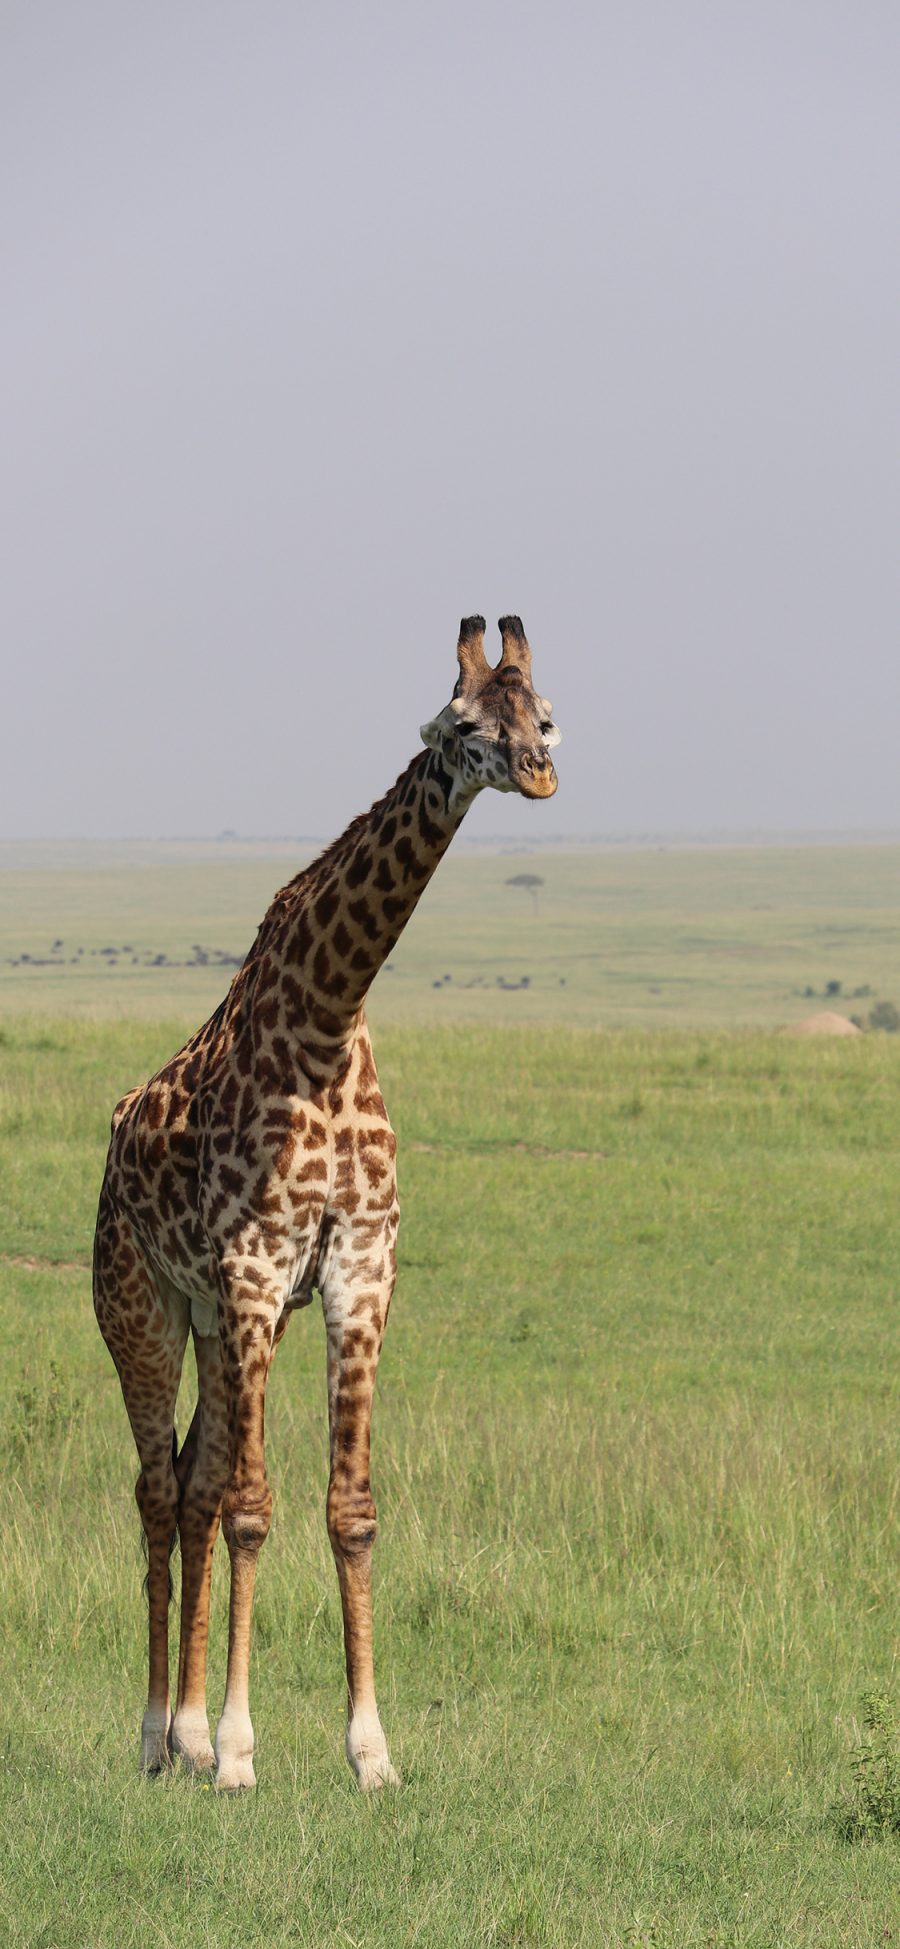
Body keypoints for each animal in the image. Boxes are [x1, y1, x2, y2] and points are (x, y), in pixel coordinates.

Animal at [96, 615, 561, 1785]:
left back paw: (181, 1728)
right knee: (161, 1489)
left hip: (213, 1321)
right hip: (143, 1306)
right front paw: (239, 1750)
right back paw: (157, 1735)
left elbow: (349, 1510)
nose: (539, 770)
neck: (329, 1015)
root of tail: (116, 1133)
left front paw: (370, 1751)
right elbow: (255, 1509)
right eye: (464, 723)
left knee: (195, 1481)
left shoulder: (359, 1272)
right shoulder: (259, 1269)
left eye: (544, 712)